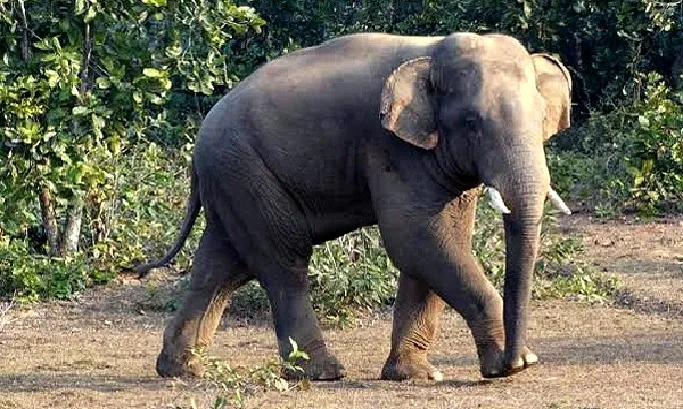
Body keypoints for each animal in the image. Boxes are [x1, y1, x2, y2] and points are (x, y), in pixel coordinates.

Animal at [135, 32, 573, 382]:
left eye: (541, 118)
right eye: (471, 123)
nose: (518, 359)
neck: (431, 54)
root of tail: (199, 142)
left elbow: (433, 245)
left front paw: (415, 375)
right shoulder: (392, 148)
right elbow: (416, 239)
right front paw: (509, 366)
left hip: (233, 178)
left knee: (222, 265)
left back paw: (182, 369)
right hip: (245, 172)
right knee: (283, 261)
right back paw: (321, 372)